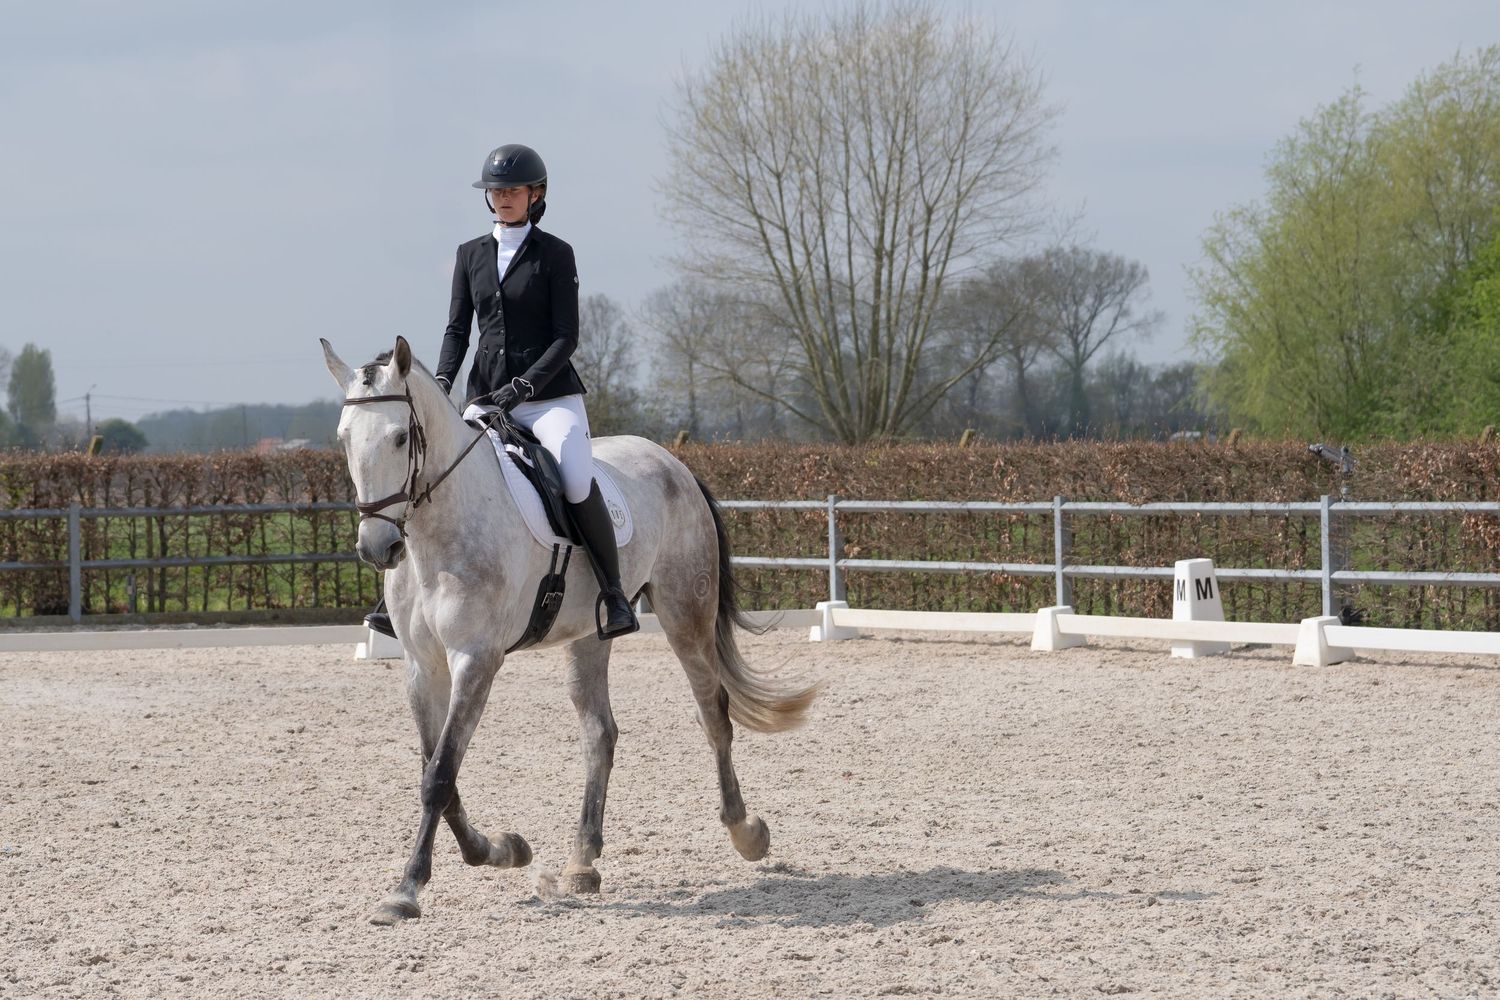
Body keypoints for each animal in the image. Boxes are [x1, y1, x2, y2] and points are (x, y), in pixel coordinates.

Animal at [321, 336, 817, 925]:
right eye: (344, 439)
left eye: (400, 437)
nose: (378, 548)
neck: (439, 533)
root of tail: (673, 463)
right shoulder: (422, 666)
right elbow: (439, 769)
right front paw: (502, 849)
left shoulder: (476, 658)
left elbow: (439, 775)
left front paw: (406, 890)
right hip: (589, 634)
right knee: (599, 733)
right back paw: (582, 862)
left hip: (685, 612)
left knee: (713, 712)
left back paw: (746, 833)